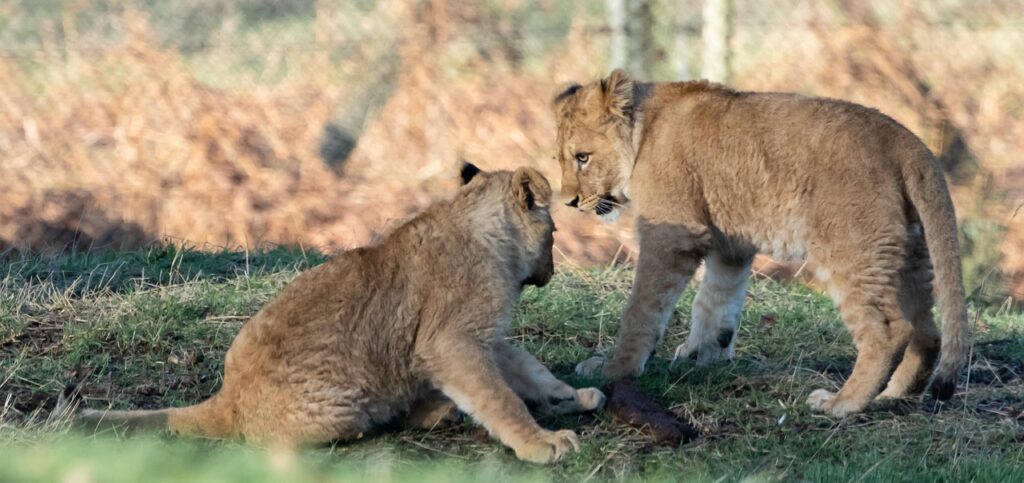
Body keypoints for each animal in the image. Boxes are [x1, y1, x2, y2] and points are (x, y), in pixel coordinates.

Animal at [80, 163, 605, 463]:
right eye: (555, 233)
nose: (553, 269)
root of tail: (228, 397)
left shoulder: (486, 338)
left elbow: (529, 372)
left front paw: (572, 396)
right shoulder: (452, 341)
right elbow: (501, 397)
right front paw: (541, 444)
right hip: (344, 406)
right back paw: (429, 413)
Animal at [551, 70, 969, 417]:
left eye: (583, 157)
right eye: (559, 159)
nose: (569, 202)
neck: (642, 132)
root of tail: (904, 139)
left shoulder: (674, 233)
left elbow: (640, 310)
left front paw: (613, 368)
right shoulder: (730, 241)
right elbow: (715, 301)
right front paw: (704, 354)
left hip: (850, 248)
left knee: (889, 329)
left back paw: (843, 403)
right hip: (909, 252)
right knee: (928, 331)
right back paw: (893, 394)